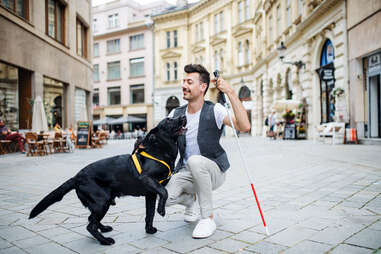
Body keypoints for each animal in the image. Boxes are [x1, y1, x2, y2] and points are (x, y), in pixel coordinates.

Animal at [29, 116, 186, 245]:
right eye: (169, 120)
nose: (183, 116)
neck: (160, 151)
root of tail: (77, 177)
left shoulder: (150, 194)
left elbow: (150, 214)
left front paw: (149, 229)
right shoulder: (147, 179)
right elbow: (164, 192)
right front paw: (161, 210)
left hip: (100, 203)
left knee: (91, 220)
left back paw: (103, 229)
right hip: (101, 202)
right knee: (90, 225)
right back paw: (105, 241)